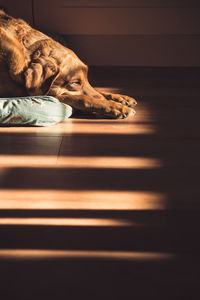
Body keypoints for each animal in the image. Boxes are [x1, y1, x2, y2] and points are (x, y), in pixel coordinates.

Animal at [0, 9, 136, 119]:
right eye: (74, 83)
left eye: (86, 79)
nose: (104, 100)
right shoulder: (36, 94)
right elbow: (81, 98)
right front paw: (115, 107)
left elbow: (97, 89)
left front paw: (121, 98)